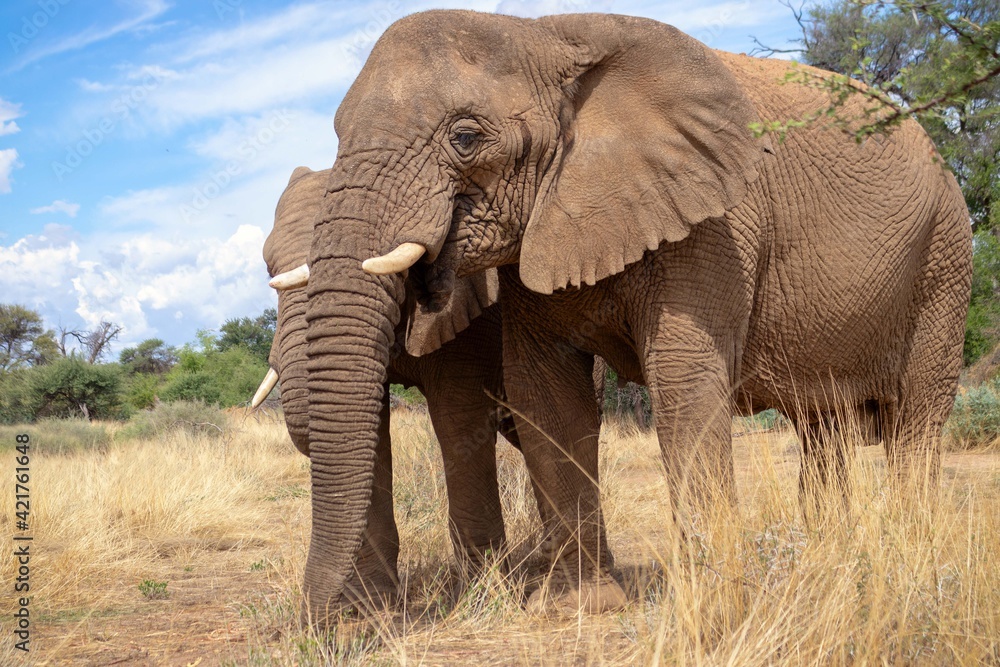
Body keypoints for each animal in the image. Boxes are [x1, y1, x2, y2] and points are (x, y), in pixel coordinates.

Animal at [254, 166, 525, 612]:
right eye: (267, 268)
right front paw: (371, 607)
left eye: (395, 265)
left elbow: (457, 420)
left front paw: (484, 595)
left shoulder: (473, 309)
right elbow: (371, 433)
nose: (314, 615)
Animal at [301, 10, 973, 619]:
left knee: (916, 421)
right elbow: (547, 397)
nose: (330, 621)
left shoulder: (715, 223)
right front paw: (582, 606)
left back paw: (912, 561)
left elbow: (684, 384)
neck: (541, 33)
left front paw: (713, 605)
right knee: (824, 428)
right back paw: (824, 561)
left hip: (946, 257)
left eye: (464, 138)